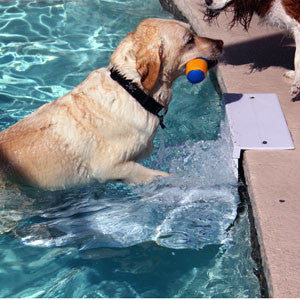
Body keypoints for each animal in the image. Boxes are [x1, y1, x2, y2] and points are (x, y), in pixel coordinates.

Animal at [0, 18, 223, 190]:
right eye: (189, 40)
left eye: (193, 33)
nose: (221, 42)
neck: (131, 89)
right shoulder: (108, 167)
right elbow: (157, 175)